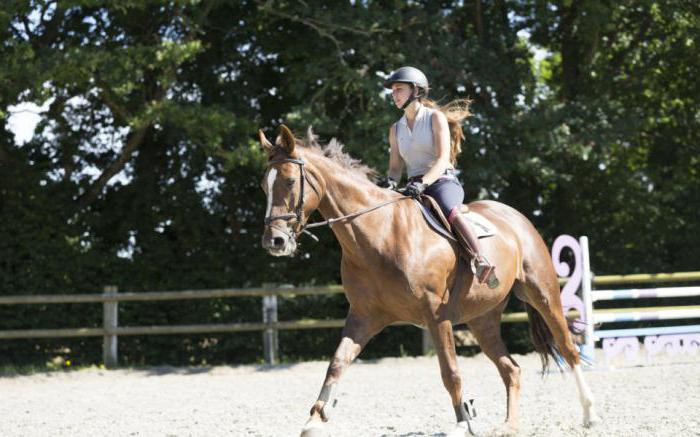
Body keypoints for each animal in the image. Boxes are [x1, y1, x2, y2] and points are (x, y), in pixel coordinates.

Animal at [258, 124, 600, 434]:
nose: (274, 242)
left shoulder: (436, 314)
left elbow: (450, 371)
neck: (379, 233)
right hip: (482, 319)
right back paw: (509, 425)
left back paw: (589, 413)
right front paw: (314, 419)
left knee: (568, 348)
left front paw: (463, 422)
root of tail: (515, 216)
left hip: (542, 294)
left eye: (289, 180)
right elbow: (337, 364)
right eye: (264, 185)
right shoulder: (363, 317)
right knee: (511, 370)